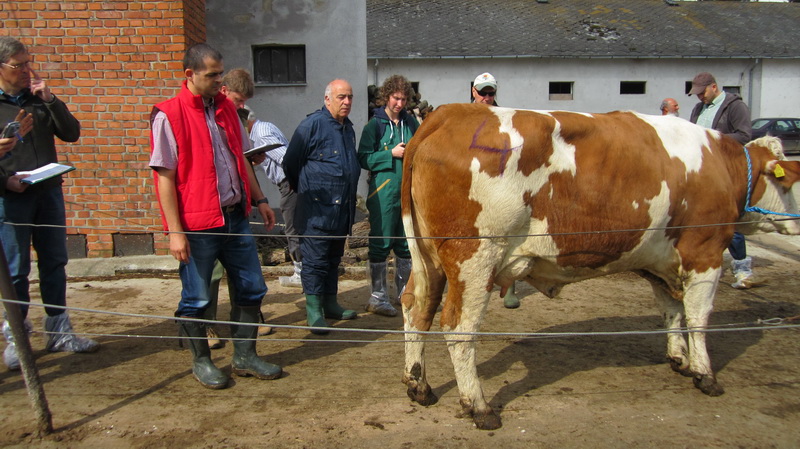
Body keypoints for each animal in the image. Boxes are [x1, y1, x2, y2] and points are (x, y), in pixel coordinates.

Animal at [400, 103, 800, 428]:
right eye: (792, 183)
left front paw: (678, 358)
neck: (721, 167)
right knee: (459, 327)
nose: (796, 223)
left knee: (417, 307)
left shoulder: (658, 260)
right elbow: (699, 317)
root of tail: (451, 112)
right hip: (475, 258)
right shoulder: (706, 251)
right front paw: (705, 374)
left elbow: (672, 310)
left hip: (428, 259)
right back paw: (479, 407)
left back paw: (419, 385)